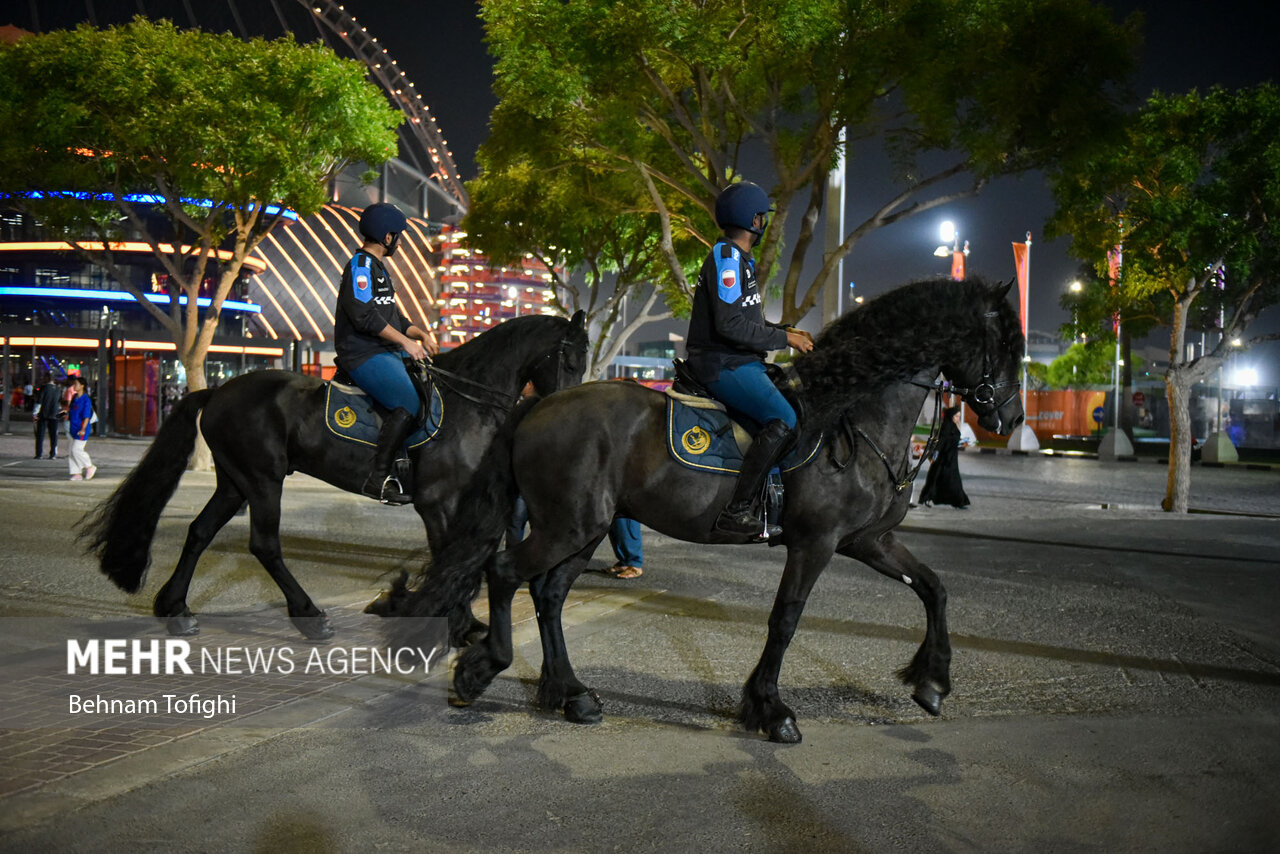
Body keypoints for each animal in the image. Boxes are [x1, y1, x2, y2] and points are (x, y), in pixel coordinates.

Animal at [74, 311, 586, 637]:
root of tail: (219, 390)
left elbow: (462, 559)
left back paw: (175, 608)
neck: (466, 402)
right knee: (264, 544)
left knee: (200, 532)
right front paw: (451, 621)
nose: (563, 413)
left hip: (235, 482)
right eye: (570, 359)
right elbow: (449, 556)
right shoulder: (437, 503)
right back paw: (309, 615)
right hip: (263, 480)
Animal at [376, 279, 1018, 742]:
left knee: (548, 592)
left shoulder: (867, 541)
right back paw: (483, 669)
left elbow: (933, 587)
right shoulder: (816, 542)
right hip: (568, 524)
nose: (1008, 419)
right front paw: (769, 708)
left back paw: (570, 693)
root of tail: (537, 405)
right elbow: (785, 620)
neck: (853, 419)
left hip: (587, 526)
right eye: (1006, 349)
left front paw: (932, 682)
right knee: (505, 572)